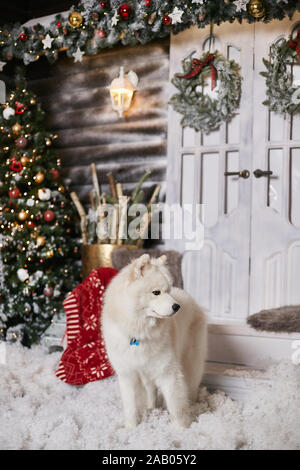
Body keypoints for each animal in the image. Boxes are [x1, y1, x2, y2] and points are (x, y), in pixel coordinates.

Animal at [102, 255, 207, 428]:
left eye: (168, 291)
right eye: (156, 292)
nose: (177, 306)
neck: (140, 333)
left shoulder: (168, 372)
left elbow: (176, 405)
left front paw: (182, 429)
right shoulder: (128, 375)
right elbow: (131, 406)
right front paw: (131, 428)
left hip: (191, 363)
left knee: (191, 386)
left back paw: (193, 405)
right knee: (151, 390)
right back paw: (152, 408)